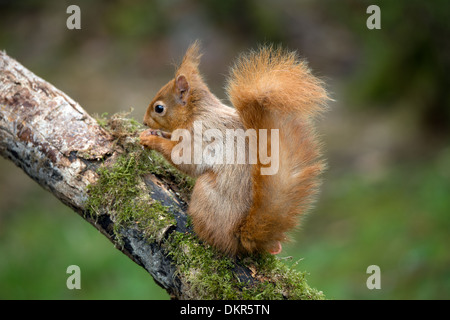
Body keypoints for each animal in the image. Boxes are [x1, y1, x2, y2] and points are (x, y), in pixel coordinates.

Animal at [139, 41, 328, 256]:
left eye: (159, 108)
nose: (144, 122)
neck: (196, 112)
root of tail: (242, 237)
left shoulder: (199, 133)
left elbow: (185, 158)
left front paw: (151, 139)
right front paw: (155, 134)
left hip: (206, 194)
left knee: (216, 240)